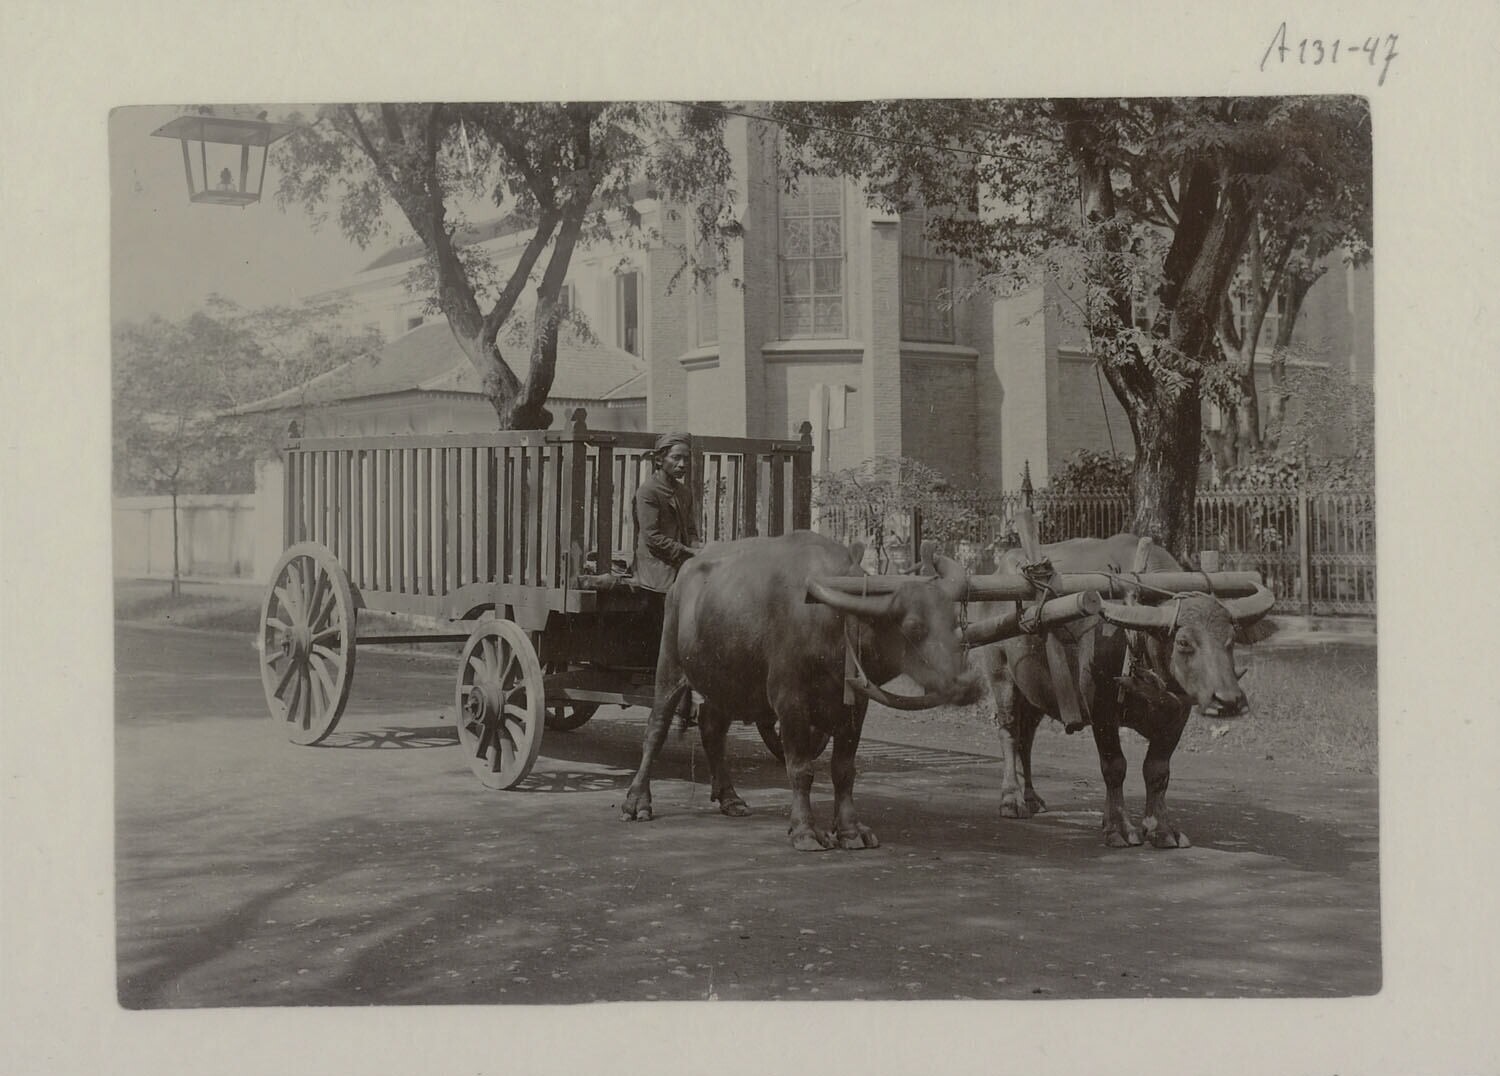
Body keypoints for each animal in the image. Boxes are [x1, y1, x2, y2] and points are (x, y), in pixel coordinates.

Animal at [620, 531, 986, 851]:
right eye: (913, 627)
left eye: (954, 620)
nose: (968, 684)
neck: (836, 623)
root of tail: (683, 577)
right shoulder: (789, 700)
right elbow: (801, 769)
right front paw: (805, 831)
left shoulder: (856, 707)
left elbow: (843, 770)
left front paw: (850, 830)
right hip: (670, 664)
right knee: (657, 727)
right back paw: (638, 802)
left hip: (727, 680)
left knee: (711, 725)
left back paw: (730, 798)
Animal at [975, 534, 1275, 849]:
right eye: (1183, 643)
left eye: (1231, 639)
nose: (1229, 701)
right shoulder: (1102, 710)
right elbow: (1115, 767)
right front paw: (1118, 827)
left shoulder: (1178, 715)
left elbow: (1157, 771)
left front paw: (1161, 828)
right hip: (1001, 677)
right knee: (1009, 732)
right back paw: (1011, 800)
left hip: (1034, 694)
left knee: (1027, 738)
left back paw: (1032, 798)